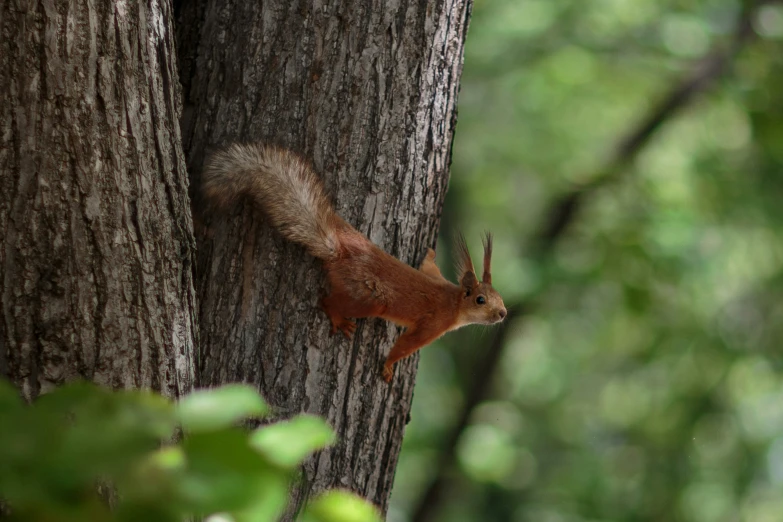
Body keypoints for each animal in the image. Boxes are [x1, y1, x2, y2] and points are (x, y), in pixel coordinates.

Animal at [202, 144, 508, 380]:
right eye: (481, 300)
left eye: (499, 297)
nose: (503, 313)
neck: (453, 302)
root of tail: (338, 251)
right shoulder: (431, 325)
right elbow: (405, 345)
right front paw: (388, 366)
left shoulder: (437, 278)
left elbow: (429, 268)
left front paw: (430, 254)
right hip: (369, 297)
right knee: (326, 300)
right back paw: (339, 318)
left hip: (353, 238)